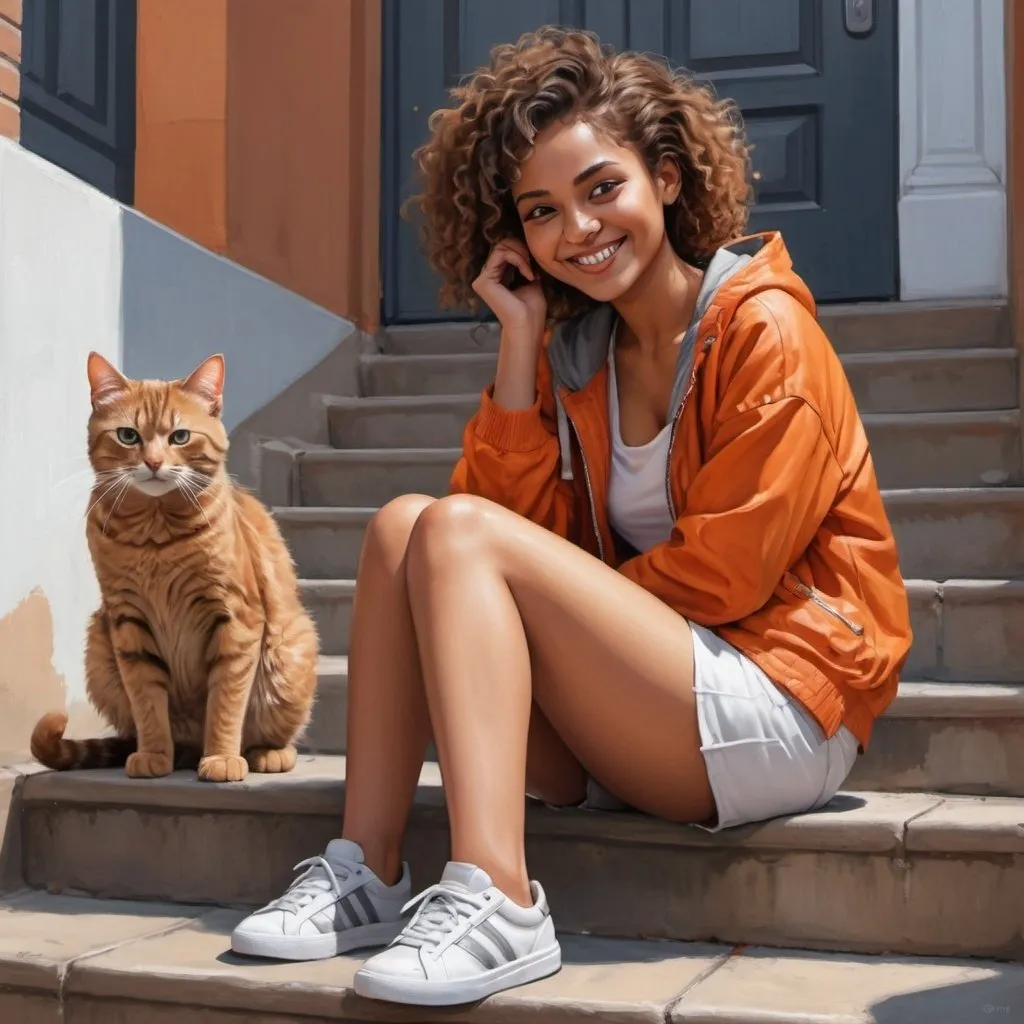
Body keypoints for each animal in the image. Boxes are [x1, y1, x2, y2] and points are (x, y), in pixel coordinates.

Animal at [30, 354, 319, 782]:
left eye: (180, 437)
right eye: (128, 436)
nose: (153, 462)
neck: (156, 538)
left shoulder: (235, 617)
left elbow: (226, 702)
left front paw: (221, 757)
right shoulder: (128, 621)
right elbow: (147, 702)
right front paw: (153, 754)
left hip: (289, 651)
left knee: (273, 734)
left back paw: (265, 753)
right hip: (99, 643)